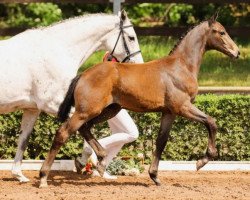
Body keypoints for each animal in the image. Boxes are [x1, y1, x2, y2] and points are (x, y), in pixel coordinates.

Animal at [0, 10, 144, 183]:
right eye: (131, 37)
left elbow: (23, 140)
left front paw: (19, 175)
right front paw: (89, 160)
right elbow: (82, 127)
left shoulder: (32, 109)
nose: (139, 64)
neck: (59, 51)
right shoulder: (56, 105)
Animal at [39, 12, 240, 188]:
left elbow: (161, 141)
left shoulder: (169, 112)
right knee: (63, 133)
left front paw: (155, 177)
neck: (181, 66)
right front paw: (202, 160)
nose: (236, 52)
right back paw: (43, 178)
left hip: (109, 109)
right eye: (221, 32)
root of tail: (83, 75)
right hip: (86, 111)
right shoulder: (183, 107)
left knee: (85, 128)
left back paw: (101, 159)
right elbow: (211, 122)